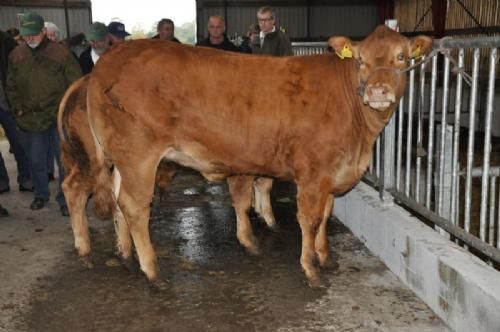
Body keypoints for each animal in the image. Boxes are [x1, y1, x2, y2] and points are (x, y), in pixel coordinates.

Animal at [88, 24, 432, 286]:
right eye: (360, 59)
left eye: (401, 56)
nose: (377, 91)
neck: (360, 139)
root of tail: (112, 57)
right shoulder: (314, 173)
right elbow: (310, 219)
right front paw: (311, 268)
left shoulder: (333, 175)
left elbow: (325, 216)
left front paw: (325, 256)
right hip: (139, 156)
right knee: (134, 206)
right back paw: (152, 270)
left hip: (121, 159)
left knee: (119, 202)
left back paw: (125, 253)